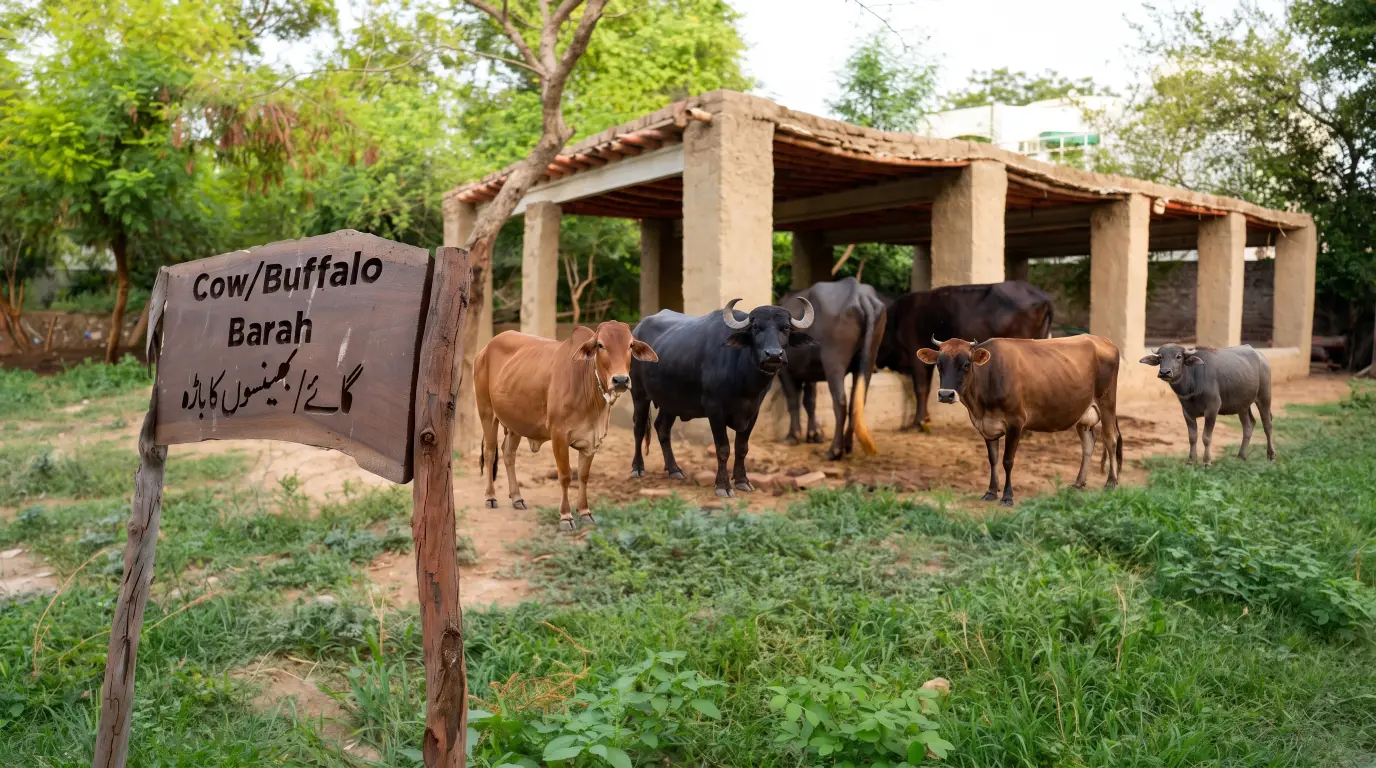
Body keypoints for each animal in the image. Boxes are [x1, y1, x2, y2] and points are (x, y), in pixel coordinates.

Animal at [474, 321, 658, 531]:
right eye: (600, 345)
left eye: (630, 345)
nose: (620, 380)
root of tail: (485, 349)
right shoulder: (559, 436)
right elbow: (565, 475)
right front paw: (566, 516)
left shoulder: (592, 439)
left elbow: (583, 475)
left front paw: (585, 512)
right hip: (487, 412)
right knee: (489, 453)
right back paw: (490, 497)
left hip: (515, 422)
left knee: (508, 454)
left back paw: (517, 498)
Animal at [630, 298, 816, 497]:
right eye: (756, 327)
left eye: (786, 327)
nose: (773, 355)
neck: (744, 381)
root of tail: (637, 331)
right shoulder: (715, 410)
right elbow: (723, 448)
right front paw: (723, 486)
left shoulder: (753, 411)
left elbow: (742, 447)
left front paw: (742, 481)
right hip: (639, 394)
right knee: (639, 428)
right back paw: (638, 468)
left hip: (670, 401)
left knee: (662, 428)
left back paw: (674, 470)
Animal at [776, 277, 886, 459]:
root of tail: (860, 295)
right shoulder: (809, 373)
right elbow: (810, 401)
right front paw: (814, 434)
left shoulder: (785, 371)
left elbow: (793, 401)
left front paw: (793, 436)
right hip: (868, 357)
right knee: (857, 401)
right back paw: (847, 445)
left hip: (833, 361)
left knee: (840, 402)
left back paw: (833, 450)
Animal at [917, 335, 1122, 506]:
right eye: (939, 364)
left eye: (967, 364)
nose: (946, 395)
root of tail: (1103, 340)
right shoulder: (986, 425)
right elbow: (993, 459)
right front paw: (991, 491)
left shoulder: (1016, 422)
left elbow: (1008, 460)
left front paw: (1007, 496)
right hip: (1082, 412)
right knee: (1088, 443)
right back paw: (1079, 483)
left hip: (1107, 403)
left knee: (1110, 438)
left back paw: (1111, 482)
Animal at [1139, 343, 1274, 466]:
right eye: (1160, 357)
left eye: (1178, 356)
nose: (1164, 372)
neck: (1193, 384)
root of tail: (1261, 357)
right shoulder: (1187, 412)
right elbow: (1192, 437)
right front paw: (1191, 461)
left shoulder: (1212, 409)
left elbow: (1206, 437)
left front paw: (1207, 461)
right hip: (1242, 405)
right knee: (1248, 426)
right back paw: (1241, 456)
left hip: (1264, 396)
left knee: (1267, 425)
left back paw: (1271, 456)